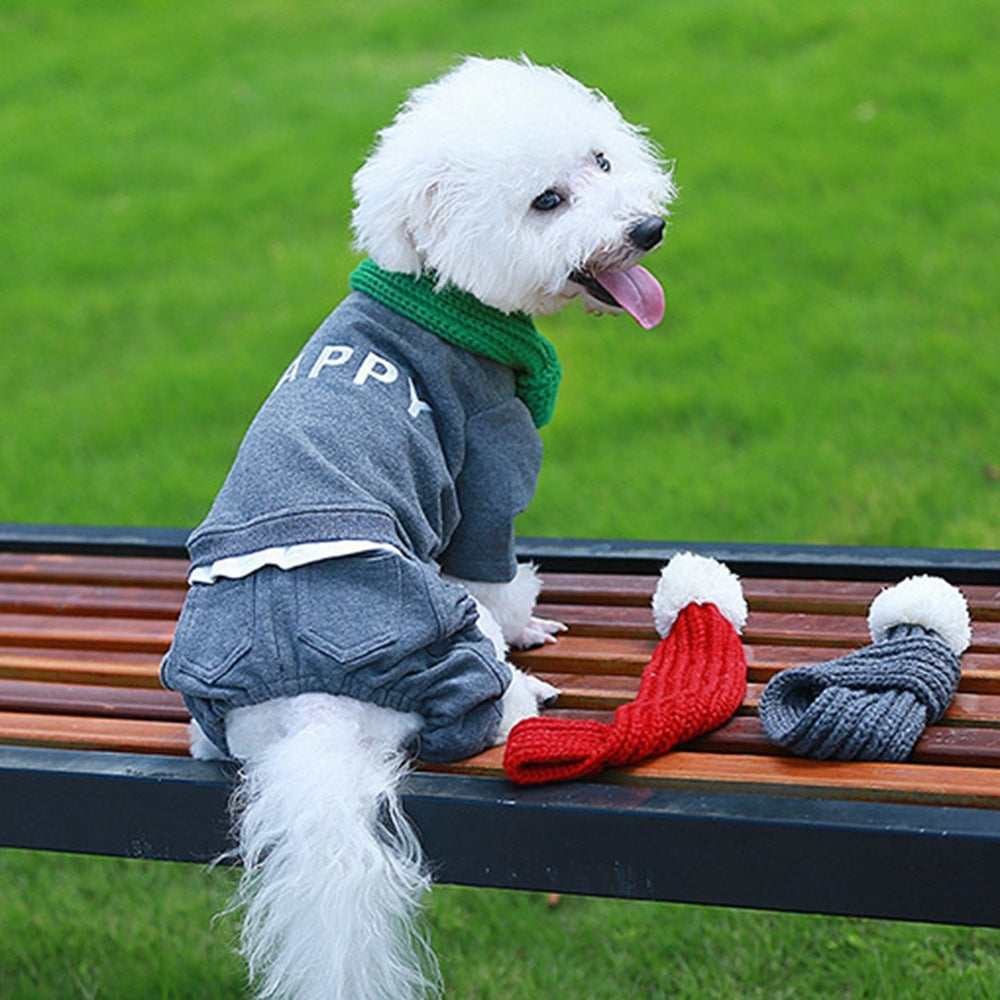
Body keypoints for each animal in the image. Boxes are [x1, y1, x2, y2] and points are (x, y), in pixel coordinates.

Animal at [168, 54, 676, 1000]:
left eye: (602, 160)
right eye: (546, 201)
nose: (649, 228)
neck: (442, 296)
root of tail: (309, 711)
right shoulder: (487, 473)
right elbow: (498, 573)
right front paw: (532, 626)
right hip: (439, 636)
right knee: (479, 699)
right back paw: (526, 696)